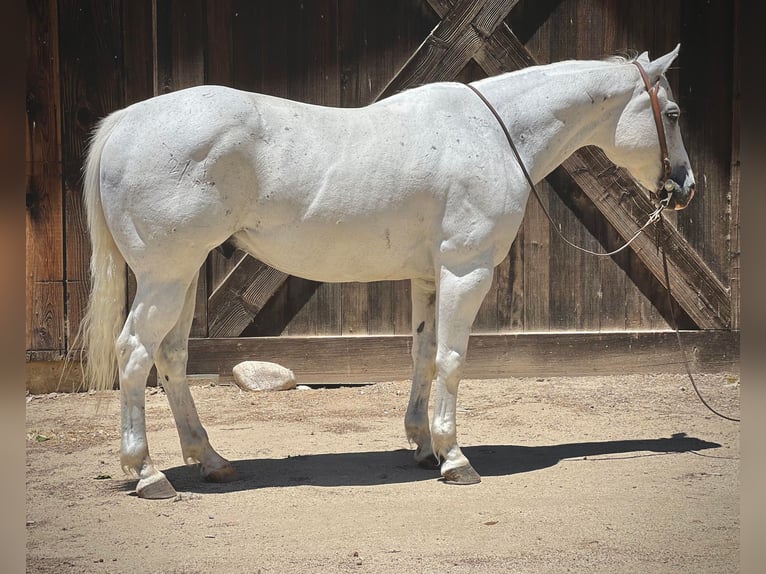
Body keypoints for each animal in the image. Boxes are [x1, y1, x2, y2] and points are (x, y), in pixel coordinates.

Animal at [82, 46, 696, 500]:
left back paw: (211, 460)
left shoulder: (429, 278)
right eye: (672, 115)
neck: (493, 135)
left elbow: (422, 354)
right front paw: (455, 458)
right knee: (134, 353)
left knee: (171, 357)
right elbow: (452, 359)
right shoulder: (466, 271)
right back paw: (148, 474)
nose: (685, 187)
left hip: (182, 277)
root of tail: (127, 122)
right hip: (166, 276)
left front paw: (423, 447)